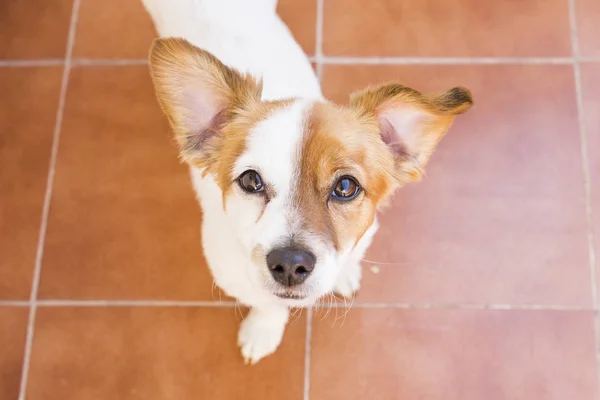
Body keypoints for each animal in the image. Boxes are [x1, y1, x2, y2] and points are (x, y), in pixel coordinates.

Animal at [142, 0, 474, 364]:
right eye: (251, 180)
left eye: (346, 187)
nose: (289, 264)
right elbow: (267, 303)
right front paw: (264, 330)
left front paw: (345, 274)